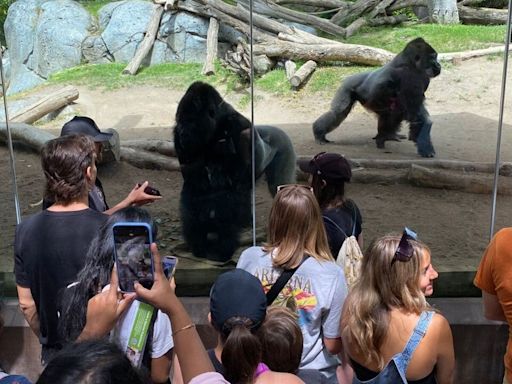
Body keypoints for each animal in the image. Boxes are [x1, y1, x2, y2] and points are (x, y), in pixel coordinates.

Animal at [173, 82, 296, 262]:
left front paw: (221, 247)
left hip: (285, 146)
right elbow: (195, 189)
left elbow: (231, 191)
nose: (182, 133)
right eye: (180, 120)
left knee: (278, 186)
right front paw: (199, 243)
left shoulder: (240, 128)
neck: (216, 126)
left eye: (190, 121)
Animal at [312, 37, 440, 158]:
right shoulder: (411, 77)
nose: (438, 65)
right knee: (338, 113)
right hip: (347, 87)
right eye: (432, 58)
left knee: (392, 112)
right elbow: (417, 116)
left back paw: (387, 136)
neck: (411, 63)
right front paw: (426, 148)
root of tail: (350, 77)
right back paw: (319, 134)